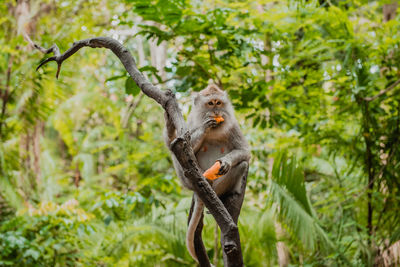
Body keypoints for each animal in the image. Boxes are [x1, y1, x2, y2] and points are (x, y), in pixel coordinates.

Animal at [162, 84, 250, 264]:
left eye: (219, 103)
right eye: (210, 103)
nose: (216, 112)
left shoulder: (233, 125)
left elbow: (244, 151)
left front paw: (225, 162)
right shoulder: (188, 123)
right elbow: (179, 144)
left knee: (243, 164)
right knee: (175, 151)